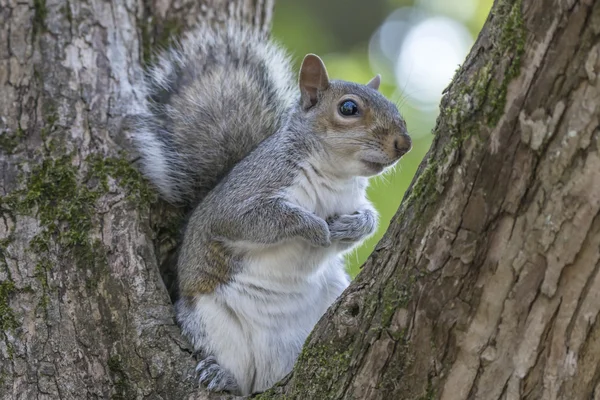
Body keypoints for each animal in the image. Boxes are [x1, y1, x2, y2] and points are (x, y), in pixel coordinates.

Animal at [133, 21, 410, 394]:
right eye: (349, 109)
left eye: (393, 106)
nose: (404, 143)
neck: (334, 175)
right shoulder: (244, 197)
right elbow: (259, 219)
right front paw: (314, 227)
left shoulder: (351, 198)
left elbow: (363, 220)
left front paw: (354, 225)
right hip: (213, 326)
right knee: (235, 376)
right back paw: (222, 375)